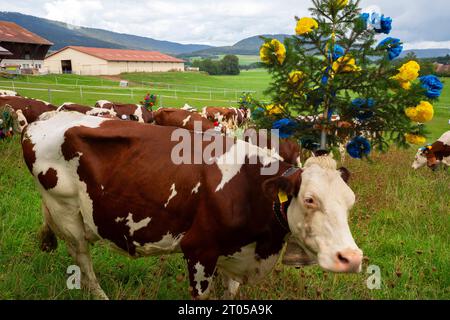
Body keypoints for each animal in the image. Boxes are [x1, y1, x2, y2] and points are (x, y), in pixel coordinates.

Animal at [22, 112, 364, 300]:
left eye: (350, 202)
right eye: (310, 199)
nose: (351, 258)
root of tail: (46, 119)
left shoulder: (234, 254)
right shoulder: (199, 251)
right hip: (67, 214)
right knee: (85, 264)